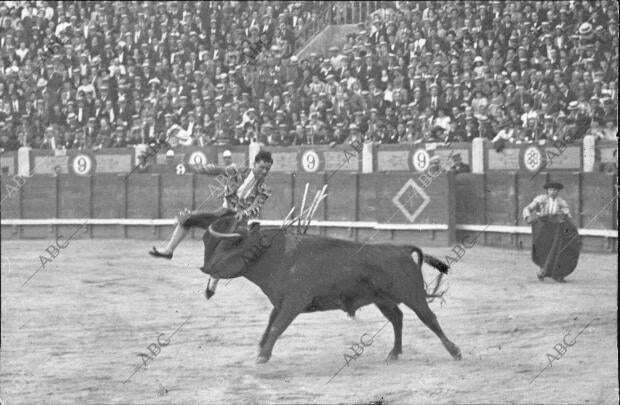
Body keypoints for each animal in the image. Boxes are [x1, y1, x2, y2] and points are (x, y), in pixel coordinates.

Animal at [201, 218, 462, 362]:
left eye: (234, 243)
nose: (206, 267)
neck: (278, 256)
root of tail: (401, 249)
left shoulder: (293, 303)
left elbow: (276, 327)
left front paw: (263, 356)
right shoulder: (280, 303)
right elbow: (269, 325)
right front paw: (261, 350)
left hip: (413, 296)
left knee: (429, 319)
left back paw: (455, 351)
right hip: (383, 300)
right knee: (397, 318)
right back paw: (394, 353)